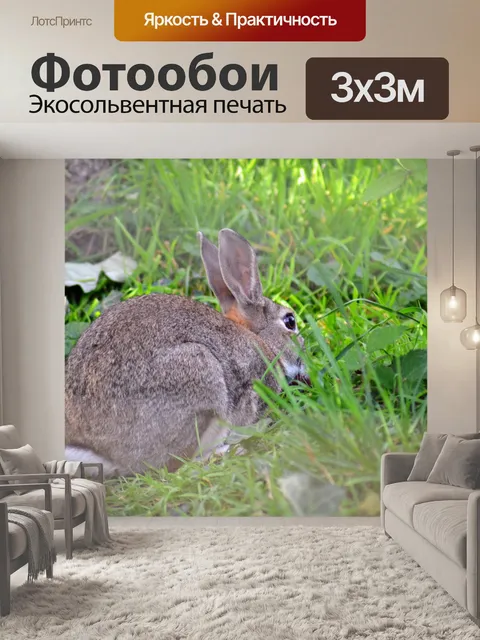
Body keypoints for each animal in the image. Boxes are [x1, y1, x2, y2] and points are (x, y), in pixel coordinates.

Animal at [65, 229, 309, 477]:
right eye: (290, 321)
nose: (306, 368)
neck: (260, 340)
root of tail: (103, 452)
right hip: (200, 378)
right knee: (172, 467)